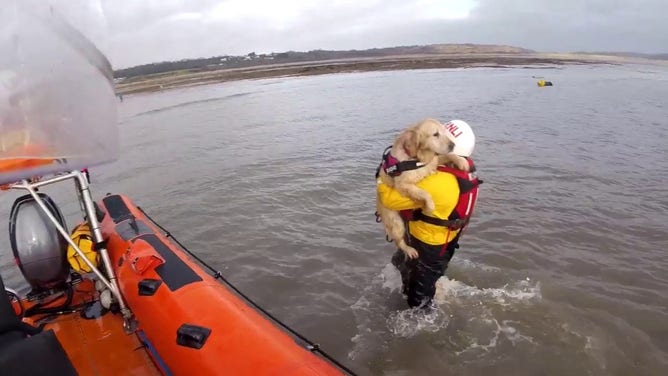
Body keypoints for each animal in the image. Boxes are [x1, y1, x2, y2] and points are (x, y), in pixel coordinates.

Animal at [376, 119, 470, 258]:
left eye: (444, 132)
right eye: (435, 134)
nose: (452, 145)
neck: (417, 158)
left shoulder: (433, 161)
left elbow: (450, 156)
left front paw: (461, 161)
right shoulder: (403, 184)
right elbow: (425, 193)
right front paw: (429, 207)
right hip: (395, 220)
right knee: (399, 241)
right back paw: (409, 250)